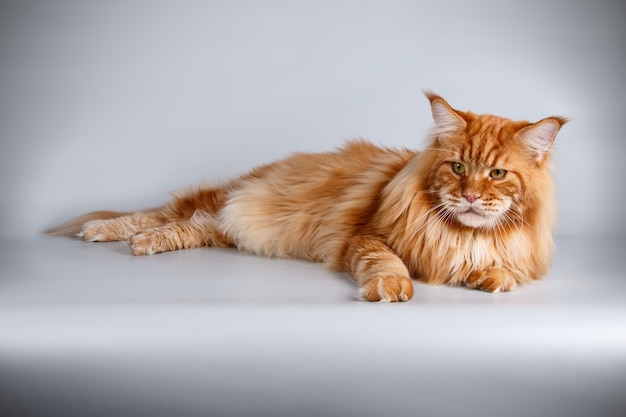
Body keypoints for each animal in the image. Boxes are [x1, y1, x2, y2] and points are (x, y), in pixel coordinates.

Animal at [46, 93, 564, 302]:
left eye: (497, 174)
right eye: (457, 168)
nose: (471, 195)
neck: (459, 231)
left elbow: (499, 269)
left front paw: (488, 277)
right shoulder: (365, 237)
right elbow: (387, 263)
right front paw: (392, 287)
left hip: (224, 226)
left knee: (186, 227)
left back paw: (145, 242)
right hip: (224, 201)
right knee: (155, 214)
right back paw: (104, 232)